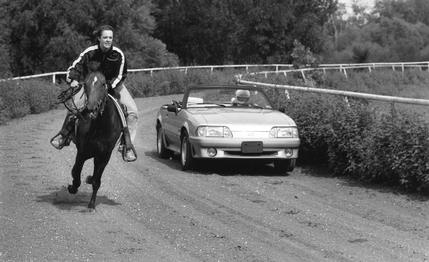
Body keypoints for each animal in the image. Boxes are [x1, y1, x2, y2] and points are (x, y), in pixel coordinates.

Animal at [58, 71, 123, 209]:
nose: (91, 108)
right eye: (86, 84)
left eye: (103, 84)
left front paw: (92, 204)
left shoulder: (104, 155)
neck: (100, 127)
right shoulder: (82, 152)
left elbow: (96, 180)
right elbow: (76, 172)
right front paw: (73, 187)